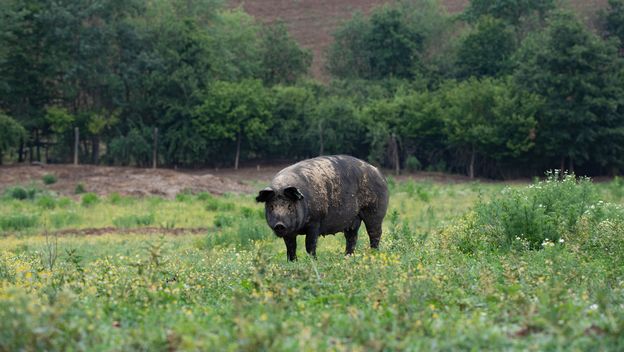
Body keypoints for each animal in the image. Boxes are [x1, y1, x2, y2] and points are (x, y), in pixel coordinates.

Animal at [256, 155, 388, 262]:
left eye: (289, 206)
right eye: (271, 206)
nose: (279, 224)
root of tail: (379, 173)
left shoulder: (315, 222)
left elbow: (310, 244)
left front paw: (313, 261)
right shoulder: (289, 232)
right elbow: (290, 247)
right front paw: (292, 262)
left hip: (375, 211)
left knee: (374, 233)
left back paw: (374, 254)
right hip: (353, 220)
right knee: (352, 237)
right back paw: (347, 257)